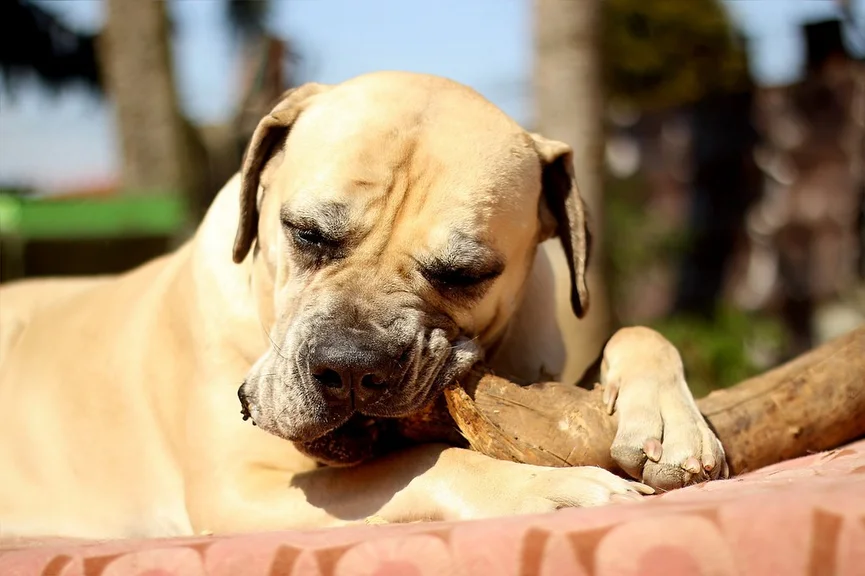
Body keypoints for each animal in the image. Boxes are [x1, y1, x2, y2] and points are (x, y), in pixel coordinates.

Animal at [0, 72, 724, 540]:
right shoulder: (238, 488)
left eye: (466, 274)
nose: (350, 367)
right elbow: (421, 461)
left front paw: (670, 421)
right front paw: (545, 487)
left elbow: (639, 333)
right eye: (306, 233)